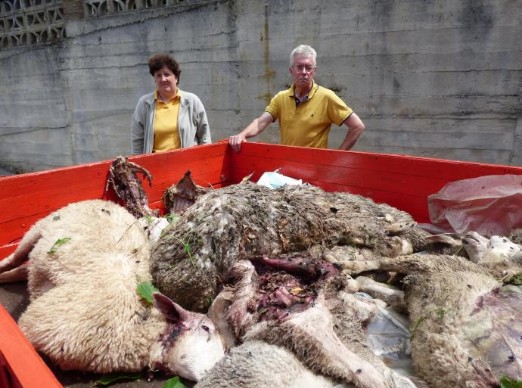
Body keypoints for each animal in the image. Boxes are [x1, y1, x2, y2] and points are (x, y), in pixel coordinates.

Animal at [0, 200, 223, 382]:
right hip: (38, 228)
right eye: (206, 328)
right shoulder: (33, 323)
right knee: (14, 258)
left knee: (24, 269)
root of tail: (107, 202)